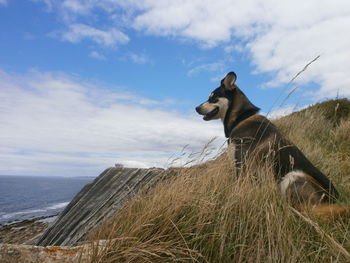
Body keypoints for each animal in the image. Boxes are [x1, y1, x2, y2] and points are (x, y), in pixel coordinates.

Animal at [196, 71, 346, 218]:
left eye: (213, 98)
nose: (196, 108)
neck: (242, 118)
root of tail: (335, 200)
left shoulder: (241, 165)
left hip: (293, 176)